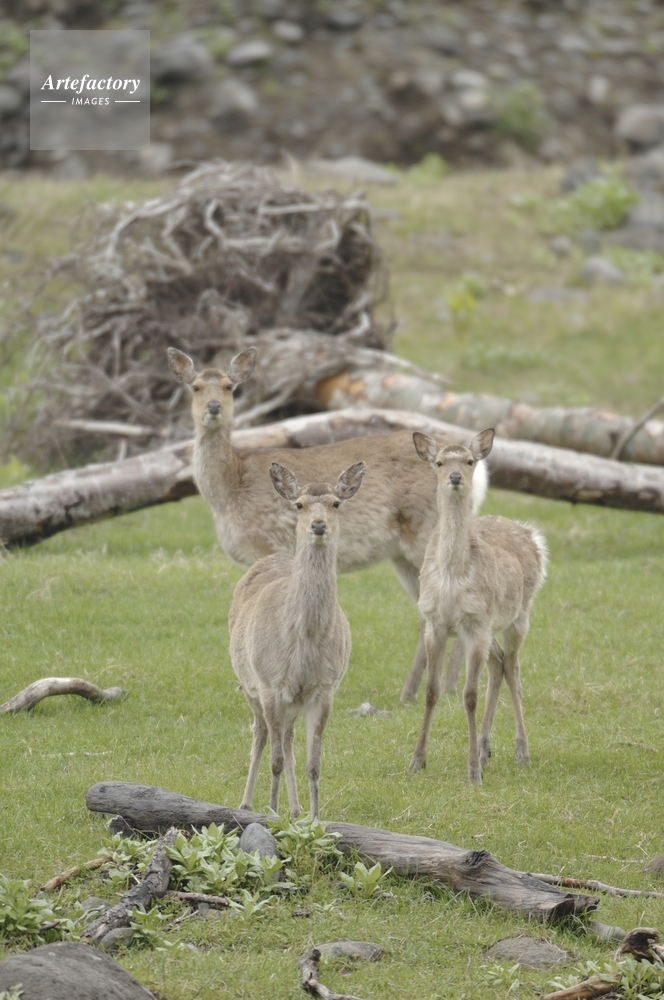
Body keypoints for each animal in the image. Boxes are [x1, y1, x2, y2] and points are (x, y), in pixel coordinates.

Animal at [167, 346, 491, 701]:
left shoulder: (266, 544)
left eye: (229, 387)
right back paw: (412, 691)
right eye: (195, 387)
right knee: (424, 611)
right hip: (401, 554)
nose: (213, 407)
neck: (229, 492)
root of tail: (479, 472)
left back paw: (446, 687)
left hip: (425, 532)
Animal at [229, 461, 365, 817]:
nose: (318, 525)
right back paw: (248, 802)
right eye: (299, 505)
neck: (303, 642)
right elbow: (275, 760)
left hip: (293, 701)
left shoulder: (325, 689)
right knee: (261, 733)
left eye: (336, 503)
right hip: (247, 682)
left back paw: (296, 808)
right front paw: (271, 812)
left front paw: (315, 816)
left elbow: (314, 763)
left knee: (288, 737)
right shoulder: (269, 684)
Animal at [408, 428, 548, 784]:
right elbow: (432, 691)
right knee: (498, 664)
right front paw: (416, 761)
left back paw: (521, 750)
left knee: (513, 668)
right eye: (439, 462)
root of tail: (532, 536)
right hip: (491, 628)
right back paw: (485, 748)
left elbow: (468, 695)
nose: (455, 477)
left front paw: (472, 772)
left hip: (518, 617)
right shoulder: (435, 623)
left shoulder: (474, 625)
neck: (452, 579)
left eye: (470, 461)